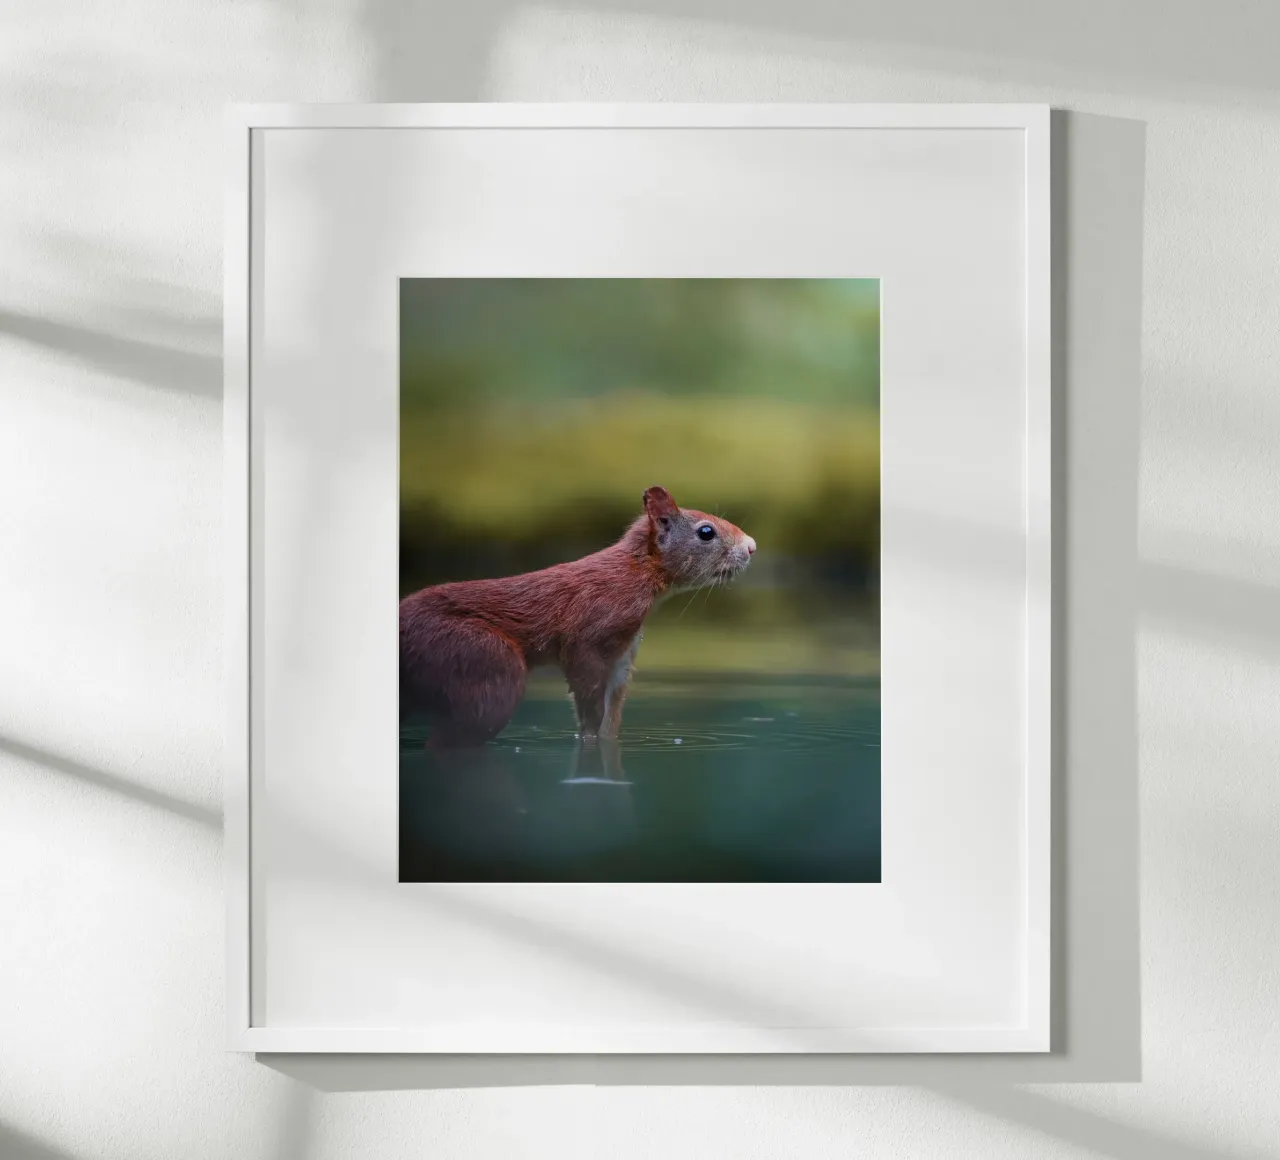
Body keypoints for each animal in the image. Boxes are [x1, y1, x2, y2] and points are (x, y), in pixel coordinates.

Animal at [400, 485, 756, 745]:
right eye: (706, 532)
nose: (751, 546)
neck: (636, 573)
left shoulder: (623, 654)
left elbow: (611, 716)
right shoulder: (590, 635)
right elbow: (588, 701)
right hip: (481, 660)